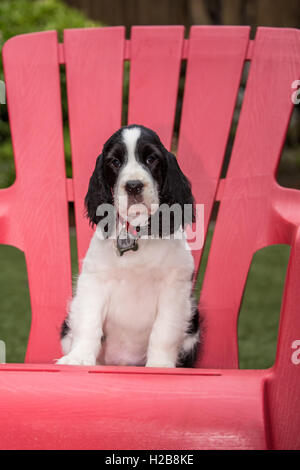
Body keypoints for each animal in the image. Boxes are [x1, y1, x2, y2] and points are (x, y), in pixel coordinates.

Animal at [57, 126, 200, 370]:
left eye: (151, 159)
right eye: (115, 161)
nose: (133, 186)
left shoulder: (175, 287)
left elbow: (164, 331)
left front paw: (160, 365)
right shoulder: (94, 281)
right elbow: (89, 322)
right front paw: (79, 358)